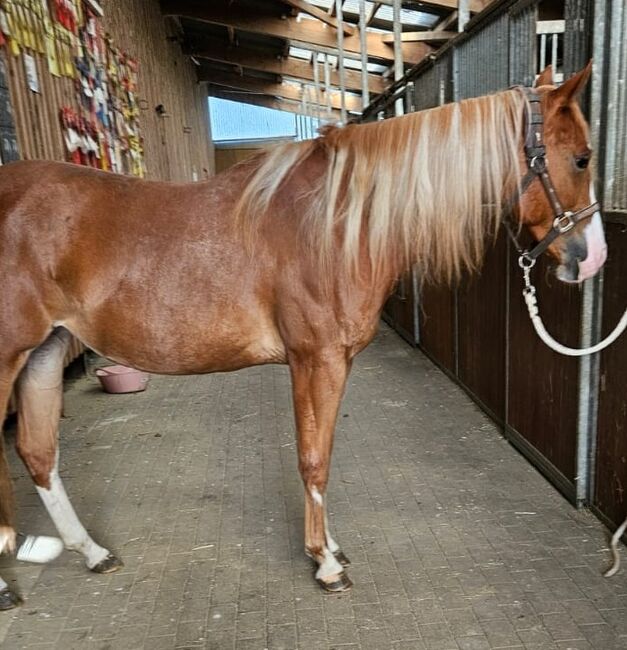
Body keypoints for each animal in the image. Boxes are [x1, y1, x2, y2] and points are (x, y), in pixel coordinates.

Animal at [0, 66, 608, 596]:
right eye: (581, 158)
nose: (594, 257)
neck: (336, 224)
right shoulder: (315, 359)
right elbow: (313, 458)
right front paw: (325, 565)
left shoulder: (333, 362)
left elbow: (324, 453)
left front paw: (331, 549)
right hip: (11, 356)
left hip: (46, 352)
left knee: (37, 453)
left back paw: (92, 553)